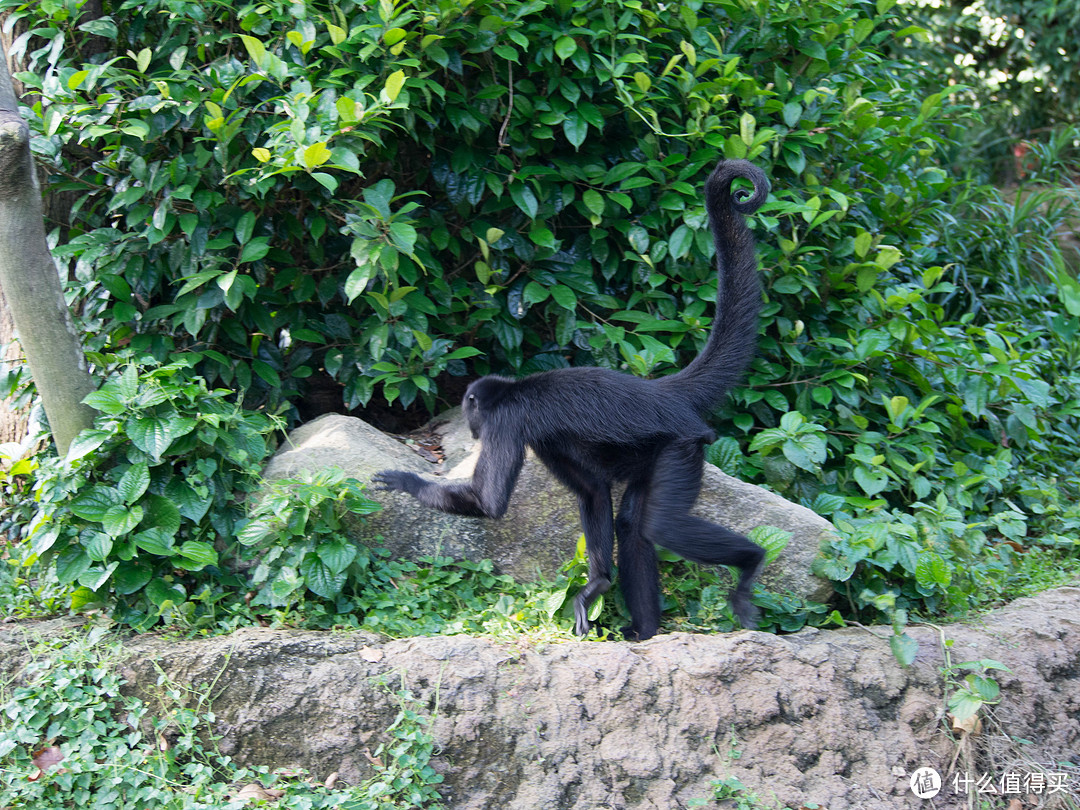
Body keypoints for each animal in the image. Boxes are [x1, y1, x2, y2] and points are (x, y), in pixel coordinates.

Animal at [375, 158, 773, 639]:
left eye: (474, 413)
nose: (470, 428)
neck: (515, 389)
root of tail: (659, 391)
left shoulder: (507, 423)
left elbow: (490, 502)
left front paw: (407, 482)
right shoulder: (542, 440)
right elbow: (593, 491)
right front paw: (598, 584)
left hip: (682, 445)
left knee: (663, 526)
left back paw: (751, 562)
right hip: (658, 451)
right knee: (634, 524)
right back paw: (645, 630)